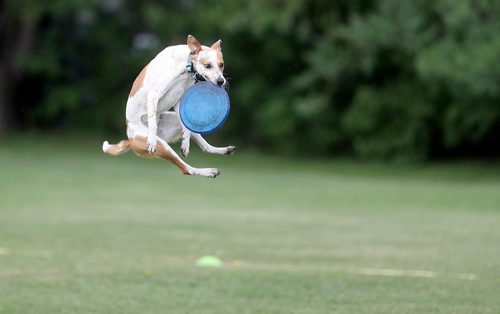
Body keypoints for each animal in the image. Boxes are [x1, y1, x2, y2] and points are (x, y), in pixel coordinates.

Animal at [102, 34, 235, 178]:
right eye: (208, 65)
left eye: (221, 65)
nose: (221, 81)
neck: (185, 66)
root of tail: (130, 139)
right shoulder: (154, 96)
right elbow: (153, 124)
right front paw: (152, 141)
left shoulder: (180, 101)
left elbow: (186, 127)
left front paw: (185, 144)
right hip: (163, 146)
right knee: (185, 169)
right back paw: (209, 171)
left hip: (175, 125)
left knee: (204, 147)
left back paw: (223, 151)